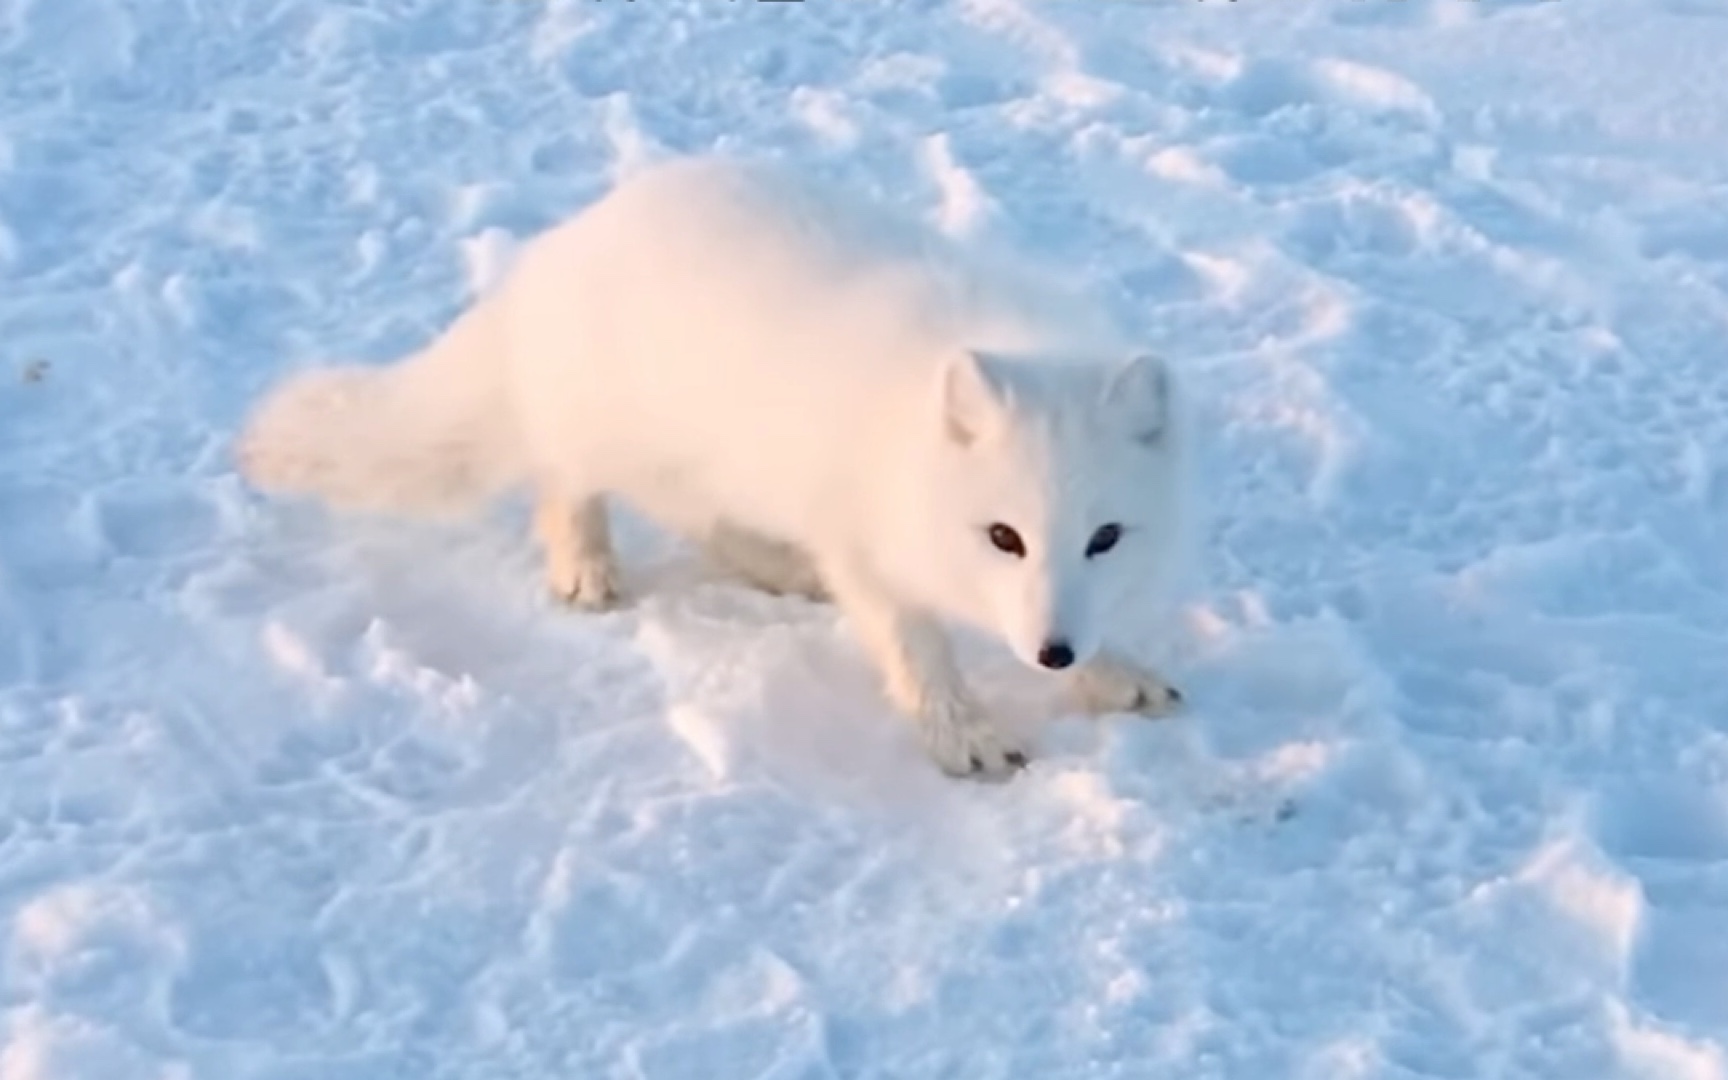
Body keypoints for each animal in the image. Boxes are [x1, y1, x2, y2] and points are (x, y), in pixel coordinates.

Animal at [240, 153, 1188, 774]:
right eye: (1003, 536)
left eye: (1105, 538)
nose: (1055, 655)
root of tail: (557, 250)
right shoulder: (863, 545)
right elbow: (914, 650)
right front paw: (963, 735)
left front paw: (1114, 672)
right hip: (619, 434)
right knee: (564, 477)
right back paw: (586, 566)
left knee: (706, 524)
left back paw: (783, 567)